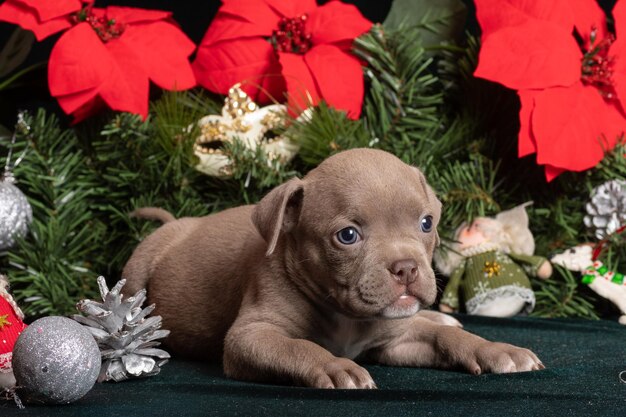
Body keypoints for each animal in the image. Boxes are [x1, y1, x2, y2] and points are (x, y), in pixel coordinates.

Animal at [123, 147, 540, 386]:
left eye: (426, 223)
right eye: (348, 235)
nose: (406, 268)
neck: (347, 318)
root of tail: (179, 223)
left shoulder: (397, 340)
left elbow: (444, 339)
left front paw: (495, 349)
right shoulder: (252, 336)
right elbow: (296, 348)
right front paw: (335, 367)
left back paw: (443, 317)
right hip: (136, 272)